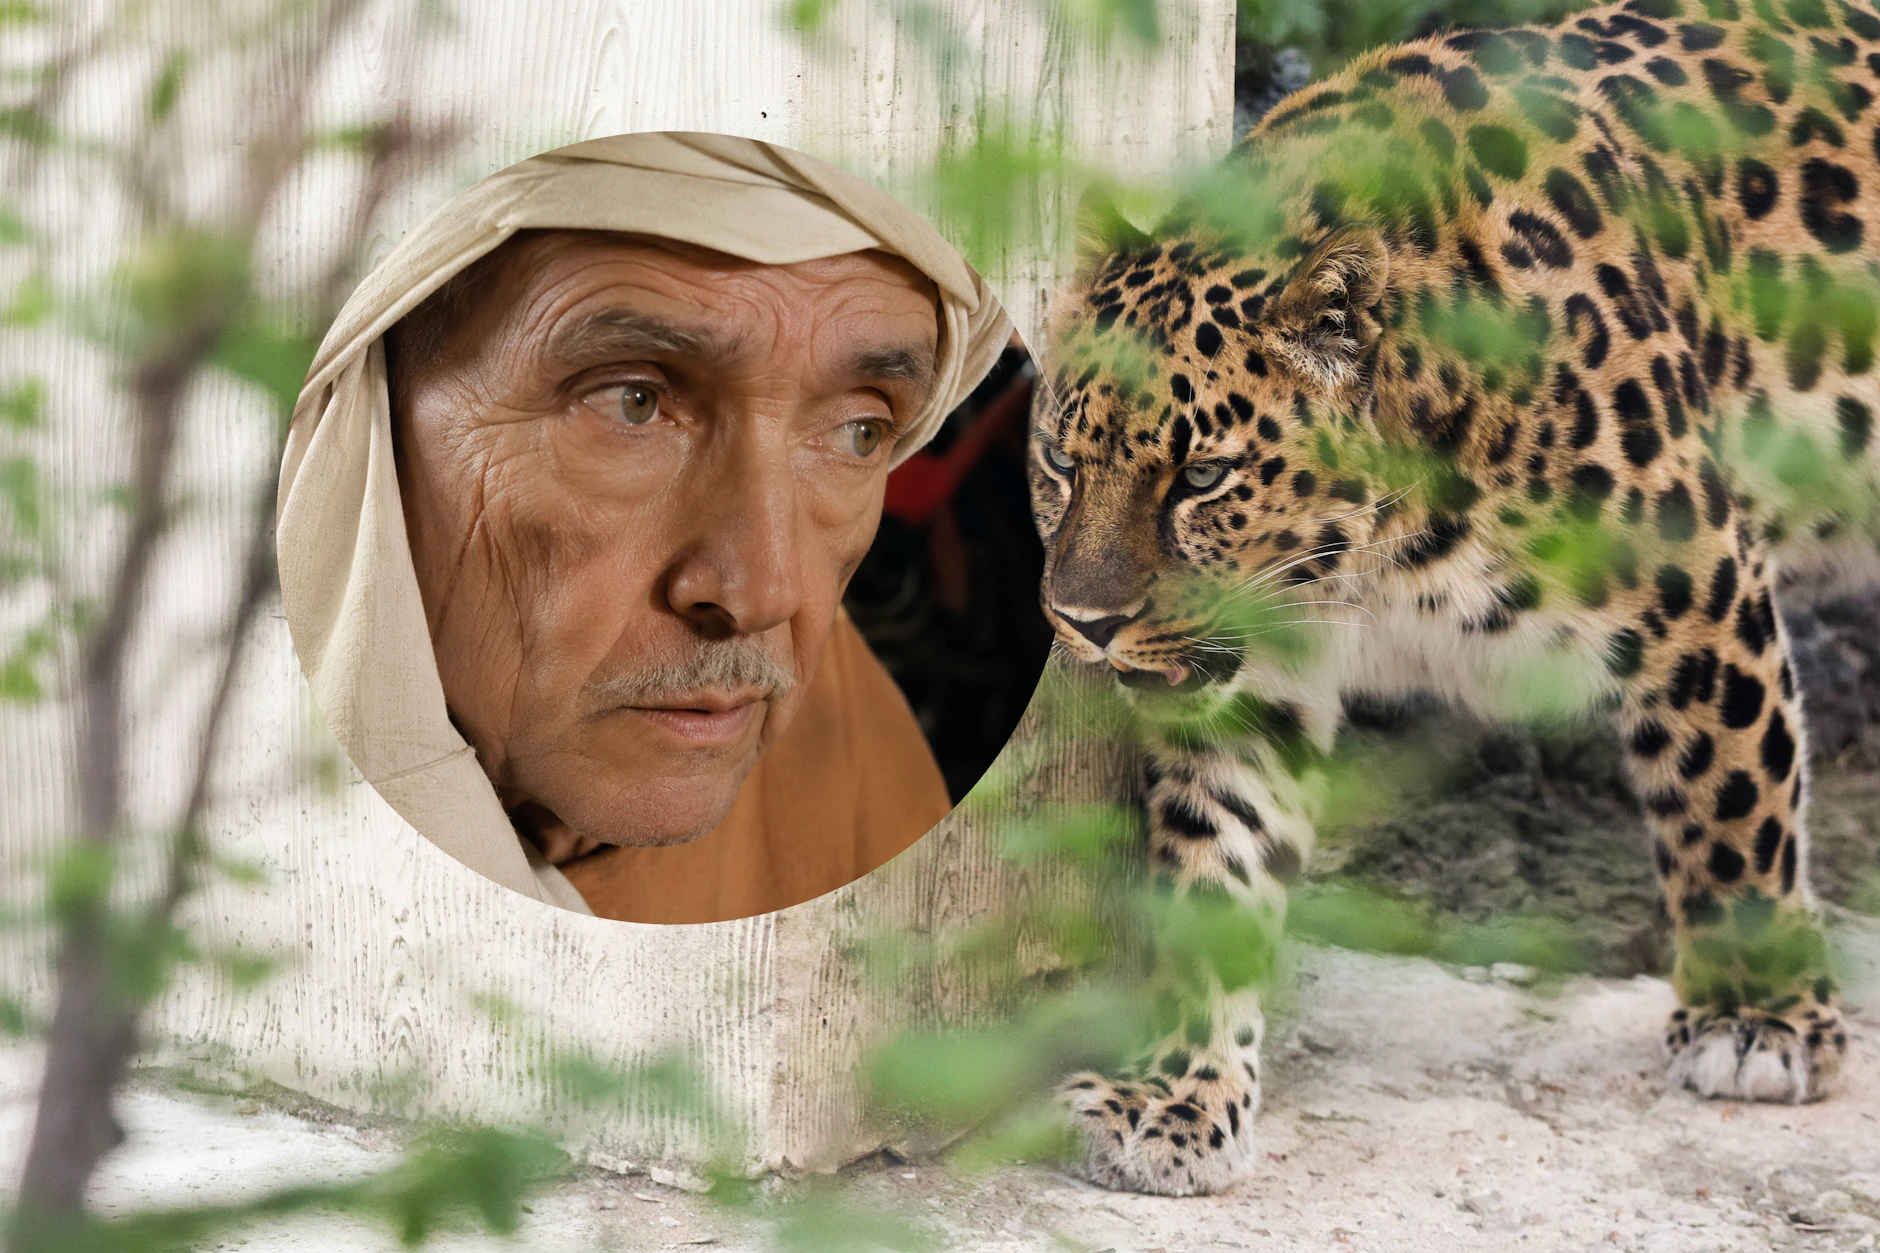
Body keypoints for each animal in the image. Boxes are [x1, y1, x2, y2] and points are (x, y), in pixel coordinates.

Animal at [1029, 0, 1880, 1197]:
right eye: (1061, 460)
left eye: (1202, 476)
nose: (1082, 622)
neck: (1375, 560)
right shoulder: (1260, 672)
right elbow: (1214, 866)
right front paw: (1175, 1092)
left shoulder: (1699, 585)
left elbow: (1729, 803)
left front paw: (1758, 1019)